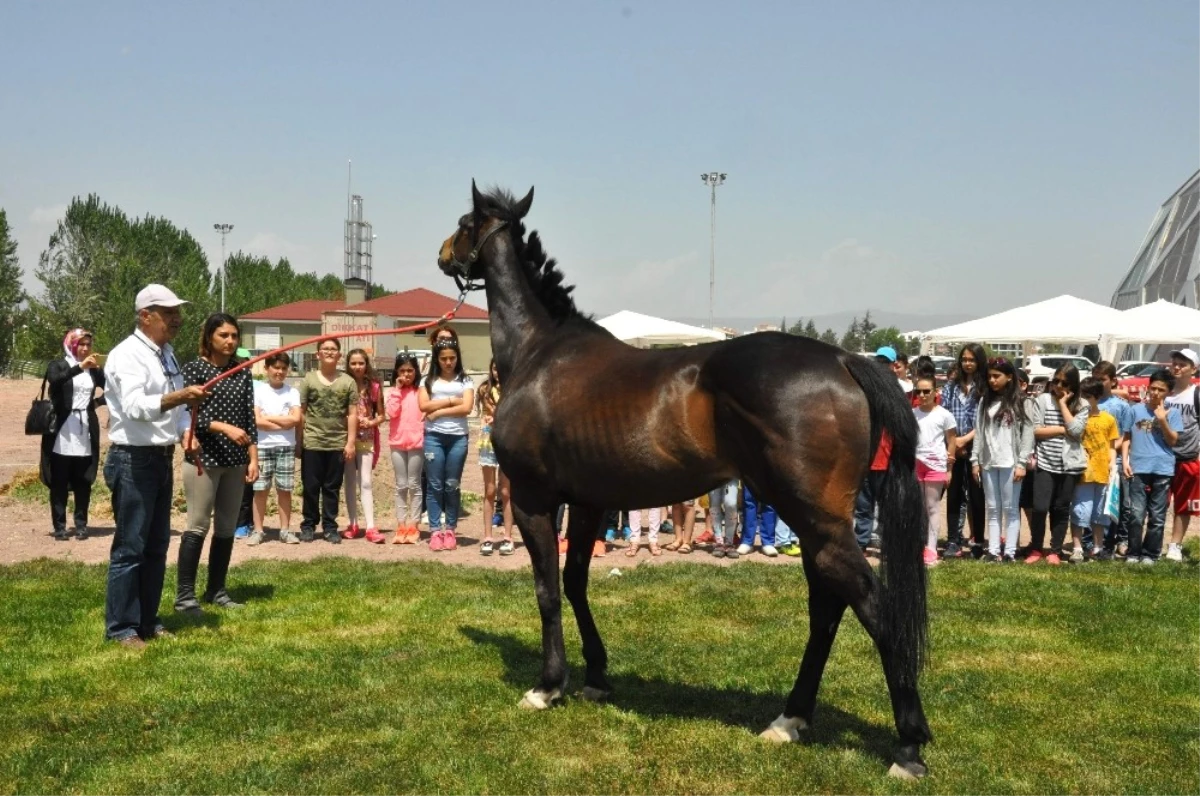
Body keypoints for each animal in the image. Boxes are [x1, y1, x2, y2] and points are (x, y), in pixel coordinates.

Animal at [436, 182, 931, 777]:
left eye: (464, 222)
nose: (444, 254)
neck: (541, 353)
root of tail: (843, 360)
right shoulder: (589, 503)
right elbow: (577, 582)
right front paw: (596, 678)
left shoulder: (535, 500)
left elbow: (548, 590)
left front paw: (548, 686)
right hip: (816, 524)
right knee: (827, 610)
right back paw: (789, 720)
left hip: (817, 521)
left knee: (872, 609)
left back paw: (908, 746)